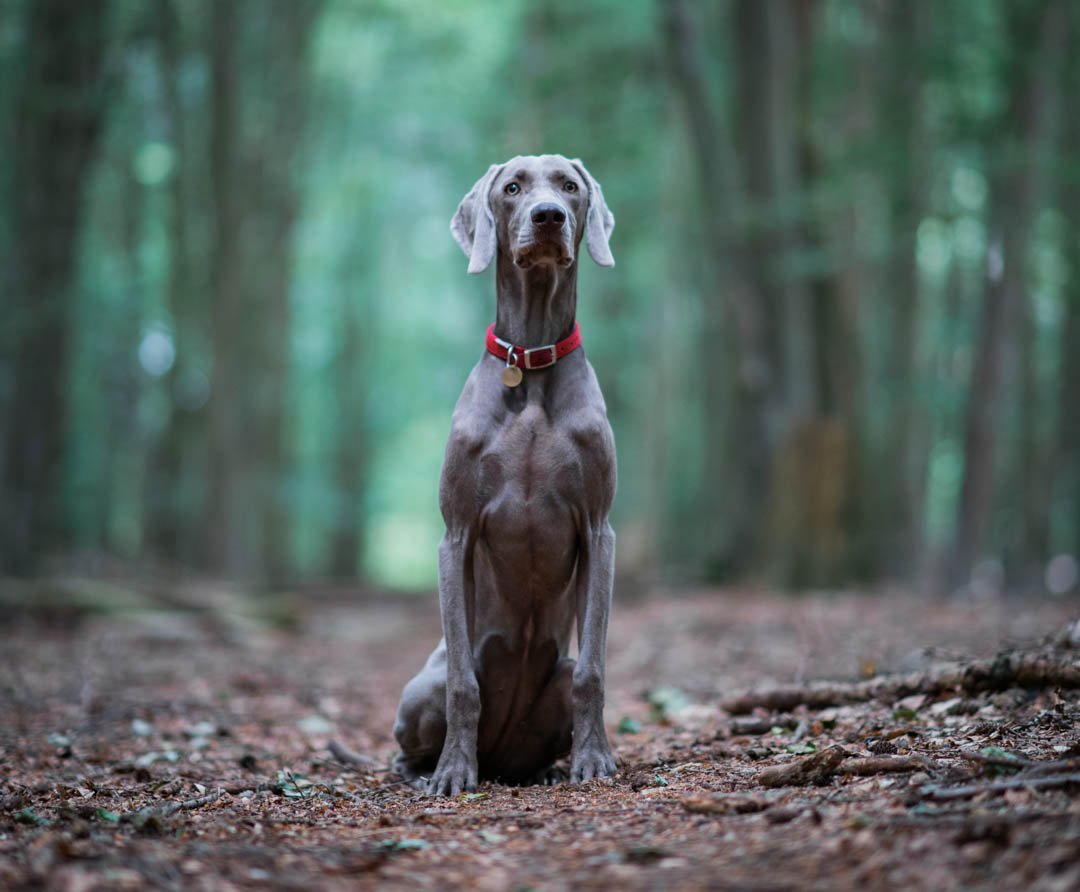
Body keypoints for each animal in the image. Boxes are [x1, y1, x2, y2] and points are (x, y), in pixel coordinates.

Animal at [395, 153, 617, 790]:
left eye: (570, 187)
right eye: (513, 187)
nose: (549, 216)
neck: (532, 364)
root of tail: (500, 760)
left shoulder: (599, 530)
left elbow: (594, 671)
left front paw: (594, 761)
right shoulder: (456, 535)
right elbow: (463, 687)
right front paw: (451, 773)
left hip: (554, 682)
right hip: (424, 686)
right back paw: (429, 770)